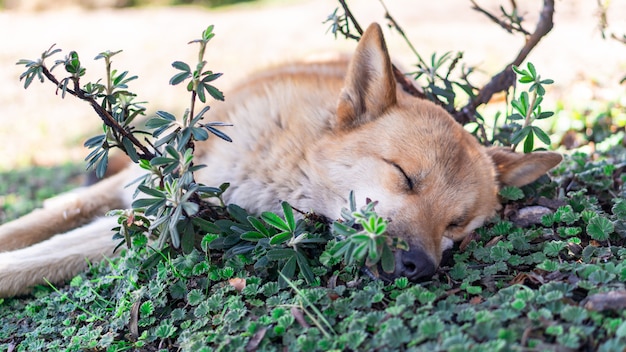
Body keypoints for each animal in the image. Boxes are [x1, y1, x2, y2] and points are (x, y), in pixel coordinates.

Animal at [0, 22, 560, 296]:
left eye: (457, 226)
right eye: (405, 177)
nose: (420, 267)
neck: (281, 168)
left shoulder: (164, 224)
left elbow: (40, 257)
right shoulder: (147, 199)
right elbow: (32, 230)